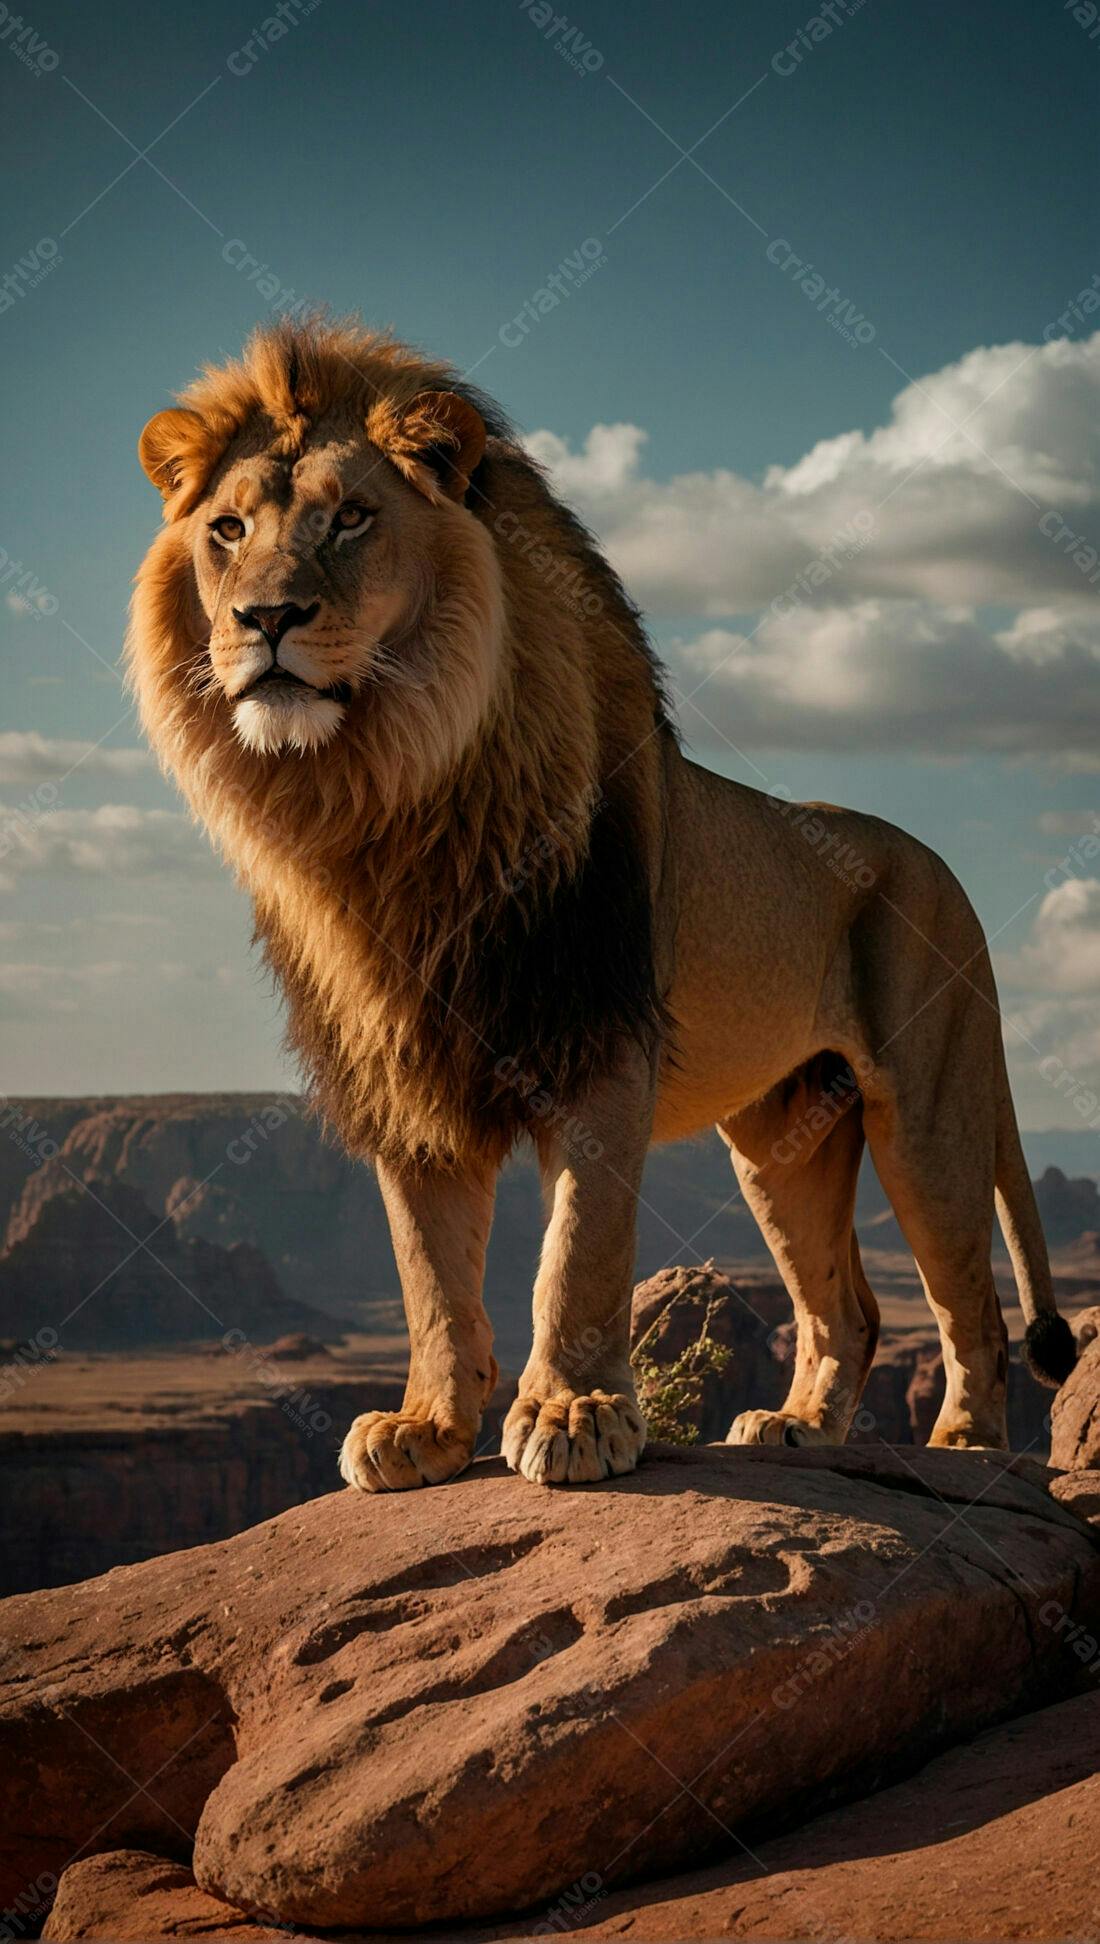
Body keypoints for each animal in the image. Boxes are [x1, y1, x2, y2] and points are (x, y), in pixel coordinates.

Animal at [128, 315, 1075, 1490]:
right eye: (226, 529)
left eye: (351, 517)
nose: (264, 617)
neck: (383, 799)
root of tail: (943, 869)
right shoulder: (403, 1071)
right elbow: (430, 1276)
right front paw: (426, 1429)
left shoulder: (599, 1030)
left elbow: (577, 1252)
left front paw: (573, 1414)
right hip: (784, 1138)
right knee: (847, 1310)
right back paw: (796, 1427)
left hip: (930, 1110)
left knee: (970, 1305)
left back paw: (962, 1447)